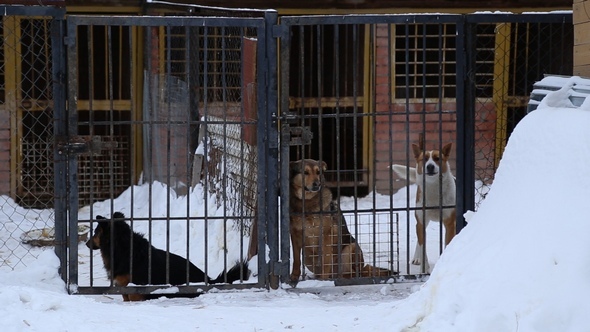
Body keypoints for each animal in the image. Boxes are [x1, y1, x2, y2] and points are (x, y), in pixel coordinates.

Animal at [86, 213, 250, 300]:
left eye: (94, 232)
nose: (87, 243)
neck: (122, 247)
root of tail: (209, 280)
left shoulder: (135, 292)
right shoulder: (124, 290)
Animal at [396, 143, 460, 272]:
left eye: (437, 158)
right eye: (424, 159)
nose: (430, 166)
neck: (433, 187)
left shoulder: (449, 223)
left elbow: (447, 242)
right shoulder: (421, 220)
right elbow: (422, 244)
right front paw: (424, 269)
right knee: (420, 238)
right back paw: (417, 258)